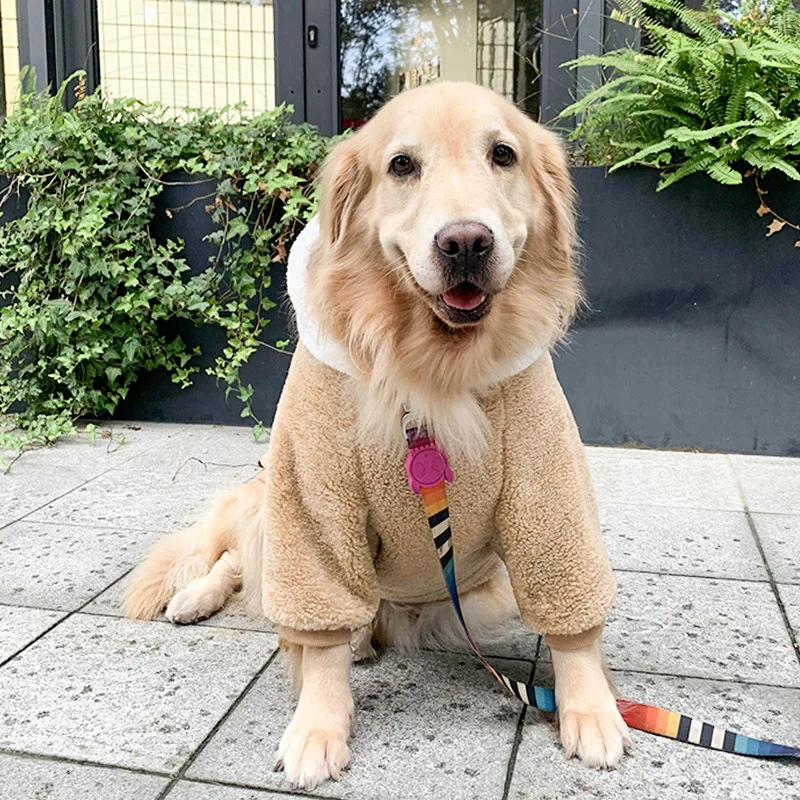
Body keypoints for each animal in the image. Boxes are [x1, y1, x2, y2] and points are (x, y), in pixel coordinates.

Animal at [125, 81, 628, 788]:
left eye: (503, 154)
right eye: (402, 165)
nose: (466, 243)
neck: (431, 372)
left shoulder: (546, 478)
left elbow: (570, 613)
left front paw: (590, 707)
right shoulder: (311, 489)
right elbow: (319, 634)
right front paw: (318, 725)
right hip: (270, 501)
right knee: (238, 564)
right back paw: (197, 599)